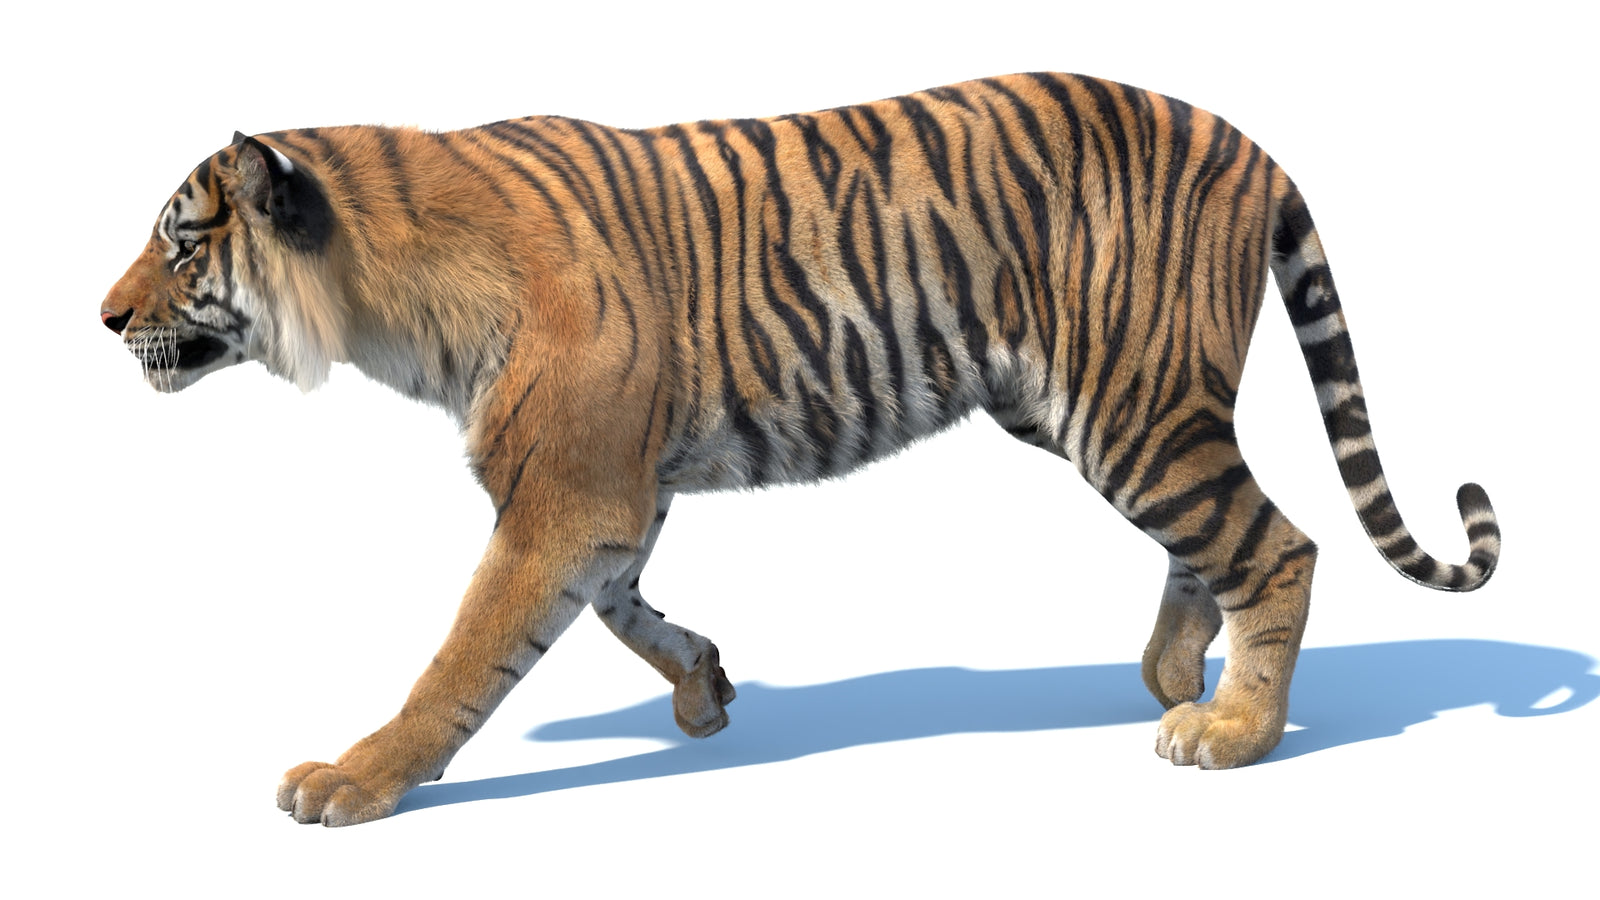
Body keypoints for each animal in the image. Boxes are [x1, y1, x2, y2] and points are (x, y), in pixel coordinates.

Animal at [101, 73, 1500, 826]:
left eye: (180, 242)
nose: (103, 318)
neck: (384, 295)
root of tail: (1250, 142)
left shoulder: (566, 491)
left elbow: (463, 654)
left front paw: (352, 780)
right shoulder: (611, 488)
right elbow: (616, 604)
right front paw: (705, 687)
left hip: (1133, 403)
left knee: (1278, 542)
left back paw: (1233, 728)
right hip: (1102, 409)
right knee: (1213, 539)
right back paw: (1174, 675)